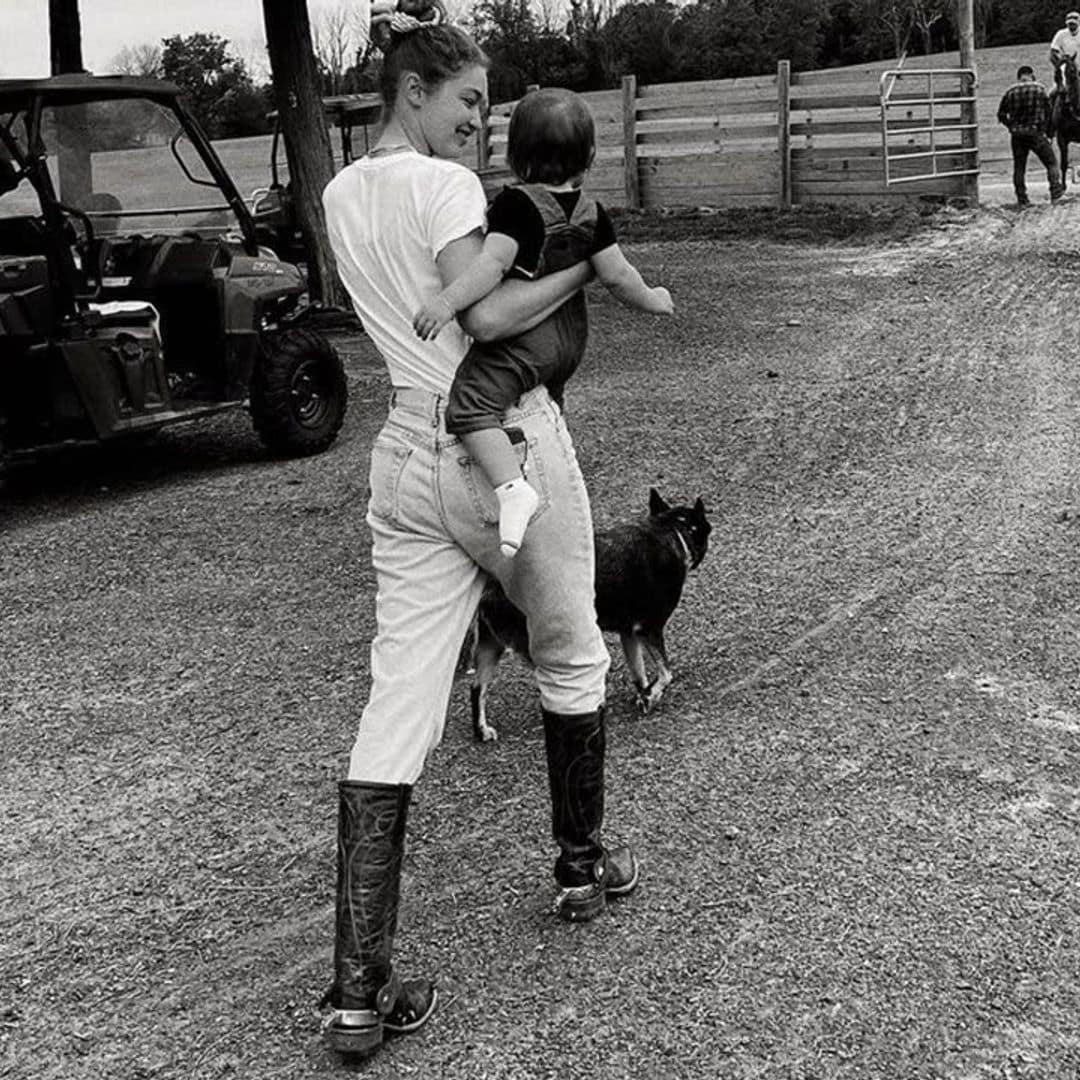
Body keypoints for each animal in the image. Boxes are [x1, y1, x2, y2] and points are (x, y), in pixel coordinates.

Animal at [464, 492, 708, 738]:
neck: (673, 529)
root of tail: (489, 585)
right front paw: (652, 695)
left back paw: (482, 730)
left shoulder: (629, 633)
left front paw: (644, 696)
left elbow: (639, 672)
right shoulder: (650, 629)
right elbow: (666, 673)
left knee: (477, 689)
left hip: (491, 647)